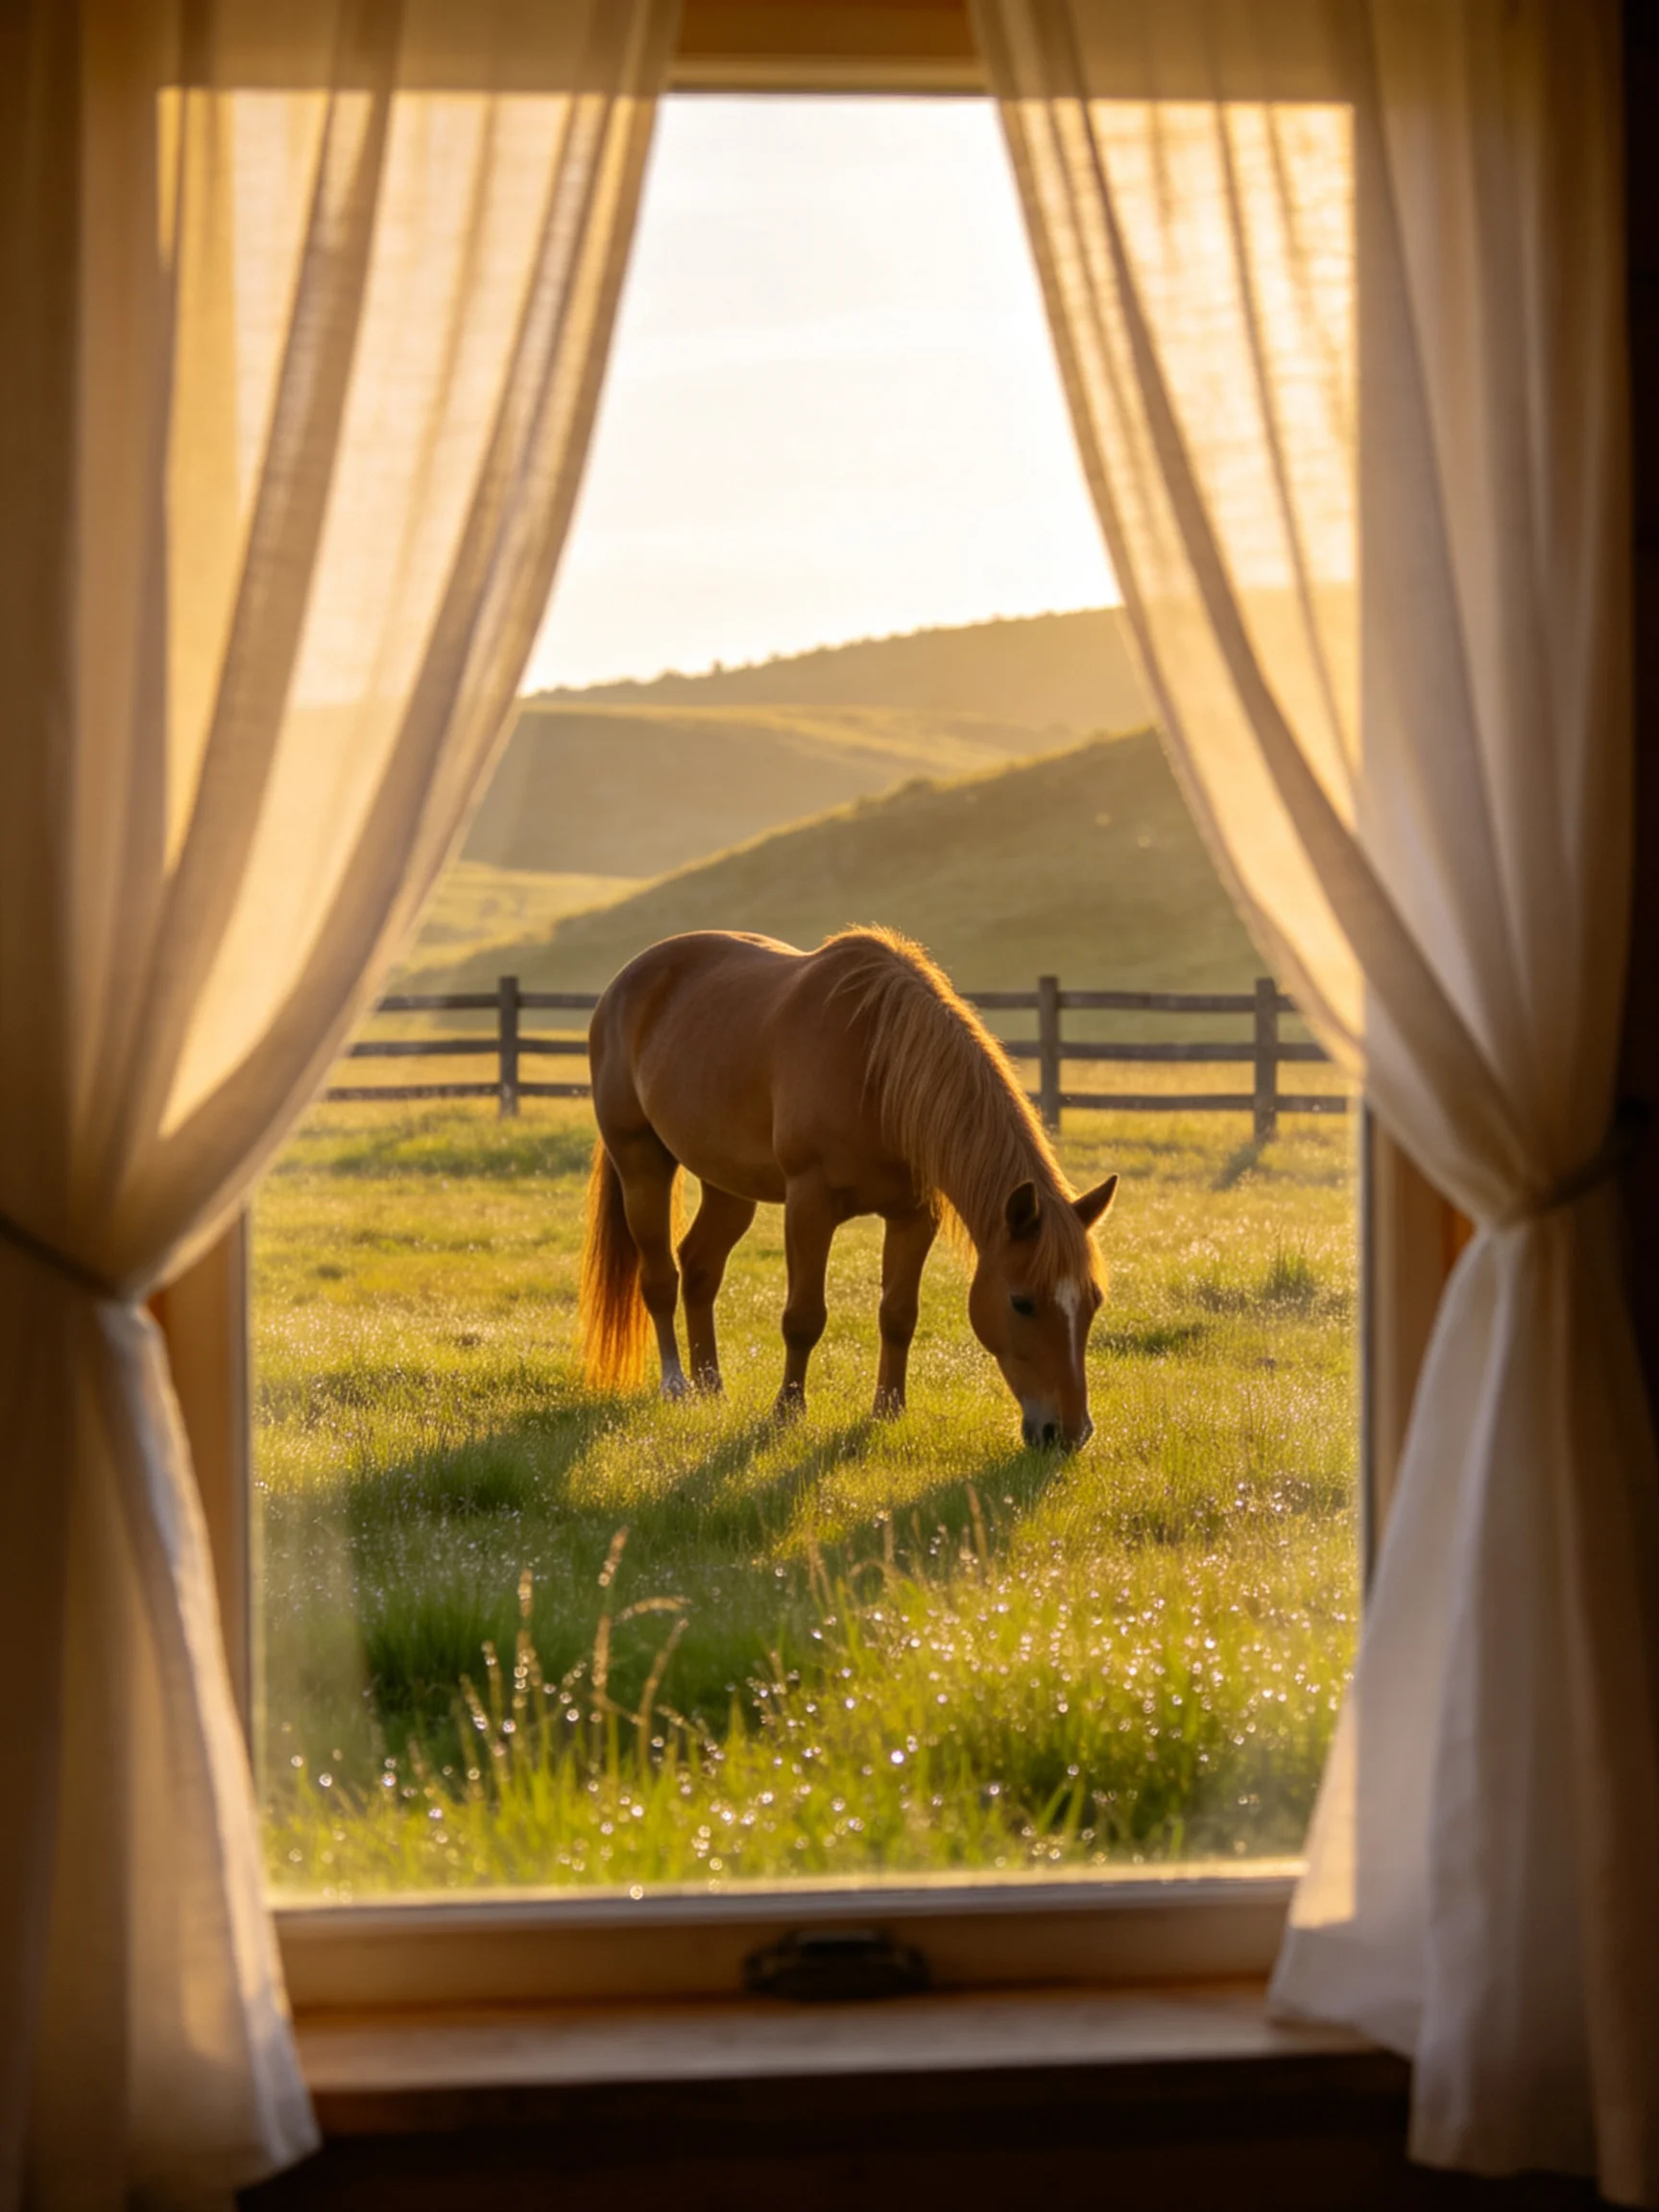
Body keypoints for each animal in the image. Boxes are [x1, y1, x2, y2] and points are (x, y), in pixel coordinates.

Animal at [579, 927, 1118, 1451]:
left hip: (727, 1184)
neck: (877, 1070)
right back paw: (677, 1385)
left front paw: (888, 1410)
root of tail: (624, 983)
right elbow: (803, 1317)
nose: (1070, 1433)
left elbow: (898, 1315)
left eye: (1093, 1300)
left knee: (699, 1268)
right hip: (641, 1164)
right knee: (660, 1277)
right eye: (1022, 1302)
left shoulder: (914, 1215)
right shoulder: (809, 1204)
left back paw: (711, 1386)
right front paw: (787, 1411)